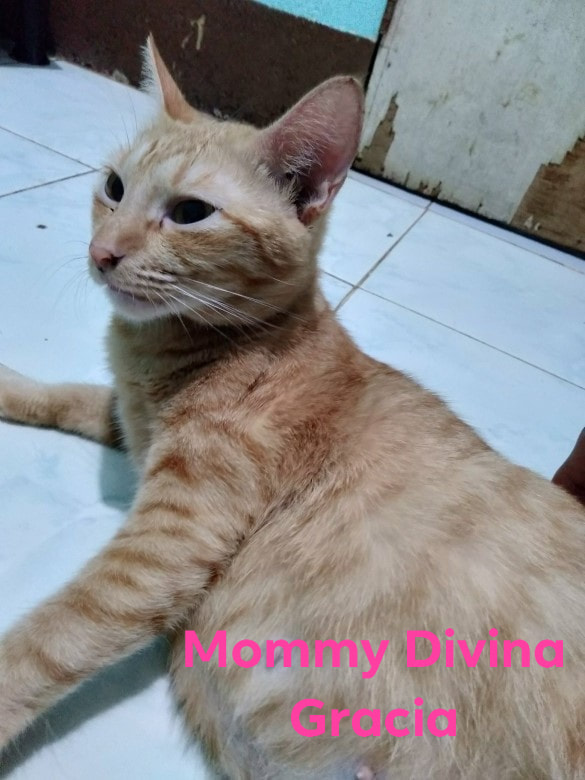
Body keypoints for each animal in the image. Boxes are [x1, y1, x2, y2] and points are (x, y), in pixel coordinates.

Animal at [1, 35, 585, 779]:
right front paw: (8, 386)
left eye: (189, 213)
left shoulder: (170, 543)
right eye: (113, 187)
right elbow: (73, 395)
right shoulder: (132, 424)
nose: (101, 254)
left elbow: (55, 633)